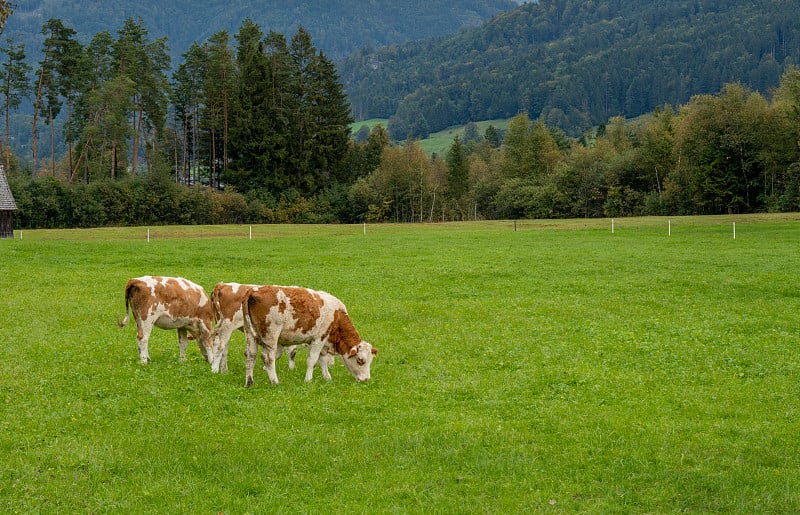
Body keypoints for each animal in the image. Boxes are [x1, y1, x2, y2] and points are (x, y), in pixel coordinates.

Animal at [242, 286, 376, 388]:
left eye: (370, 361)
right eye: (360, 361)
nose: (366, 379)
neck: (336, 315)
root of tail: (254, 290)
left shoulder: (324, 341)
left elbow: (323, 359)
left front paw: (327, 377)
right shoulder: (319, 337)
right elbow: (313, 360)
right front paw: (308, 380)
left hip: (250, 334)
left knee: (250, 356)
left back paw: (249, 382)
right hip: (271, 335)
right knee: (268, 358)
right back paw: (275, 381)